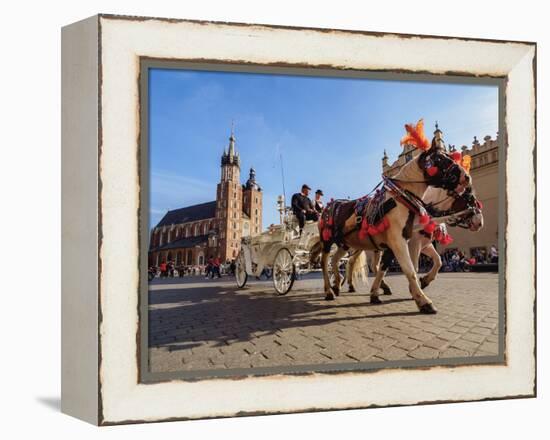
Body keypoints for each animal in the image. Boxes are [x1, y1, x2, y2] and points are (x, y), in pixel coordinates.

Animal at [322, 124, 472, 314]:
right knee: (324, 263)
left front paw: (376, 293)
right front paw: (423, 300)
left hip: (345, 243)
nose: (467, 177)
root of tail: (330, 204)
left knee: (337, 261)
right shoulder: (399, 242)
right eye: (439, 158)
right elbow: (410, 269)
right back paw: (329, 290)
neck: (401, 199)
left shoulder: (394, 244)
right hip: (327, 241)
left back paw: (337, 284)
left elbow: (384, 269)